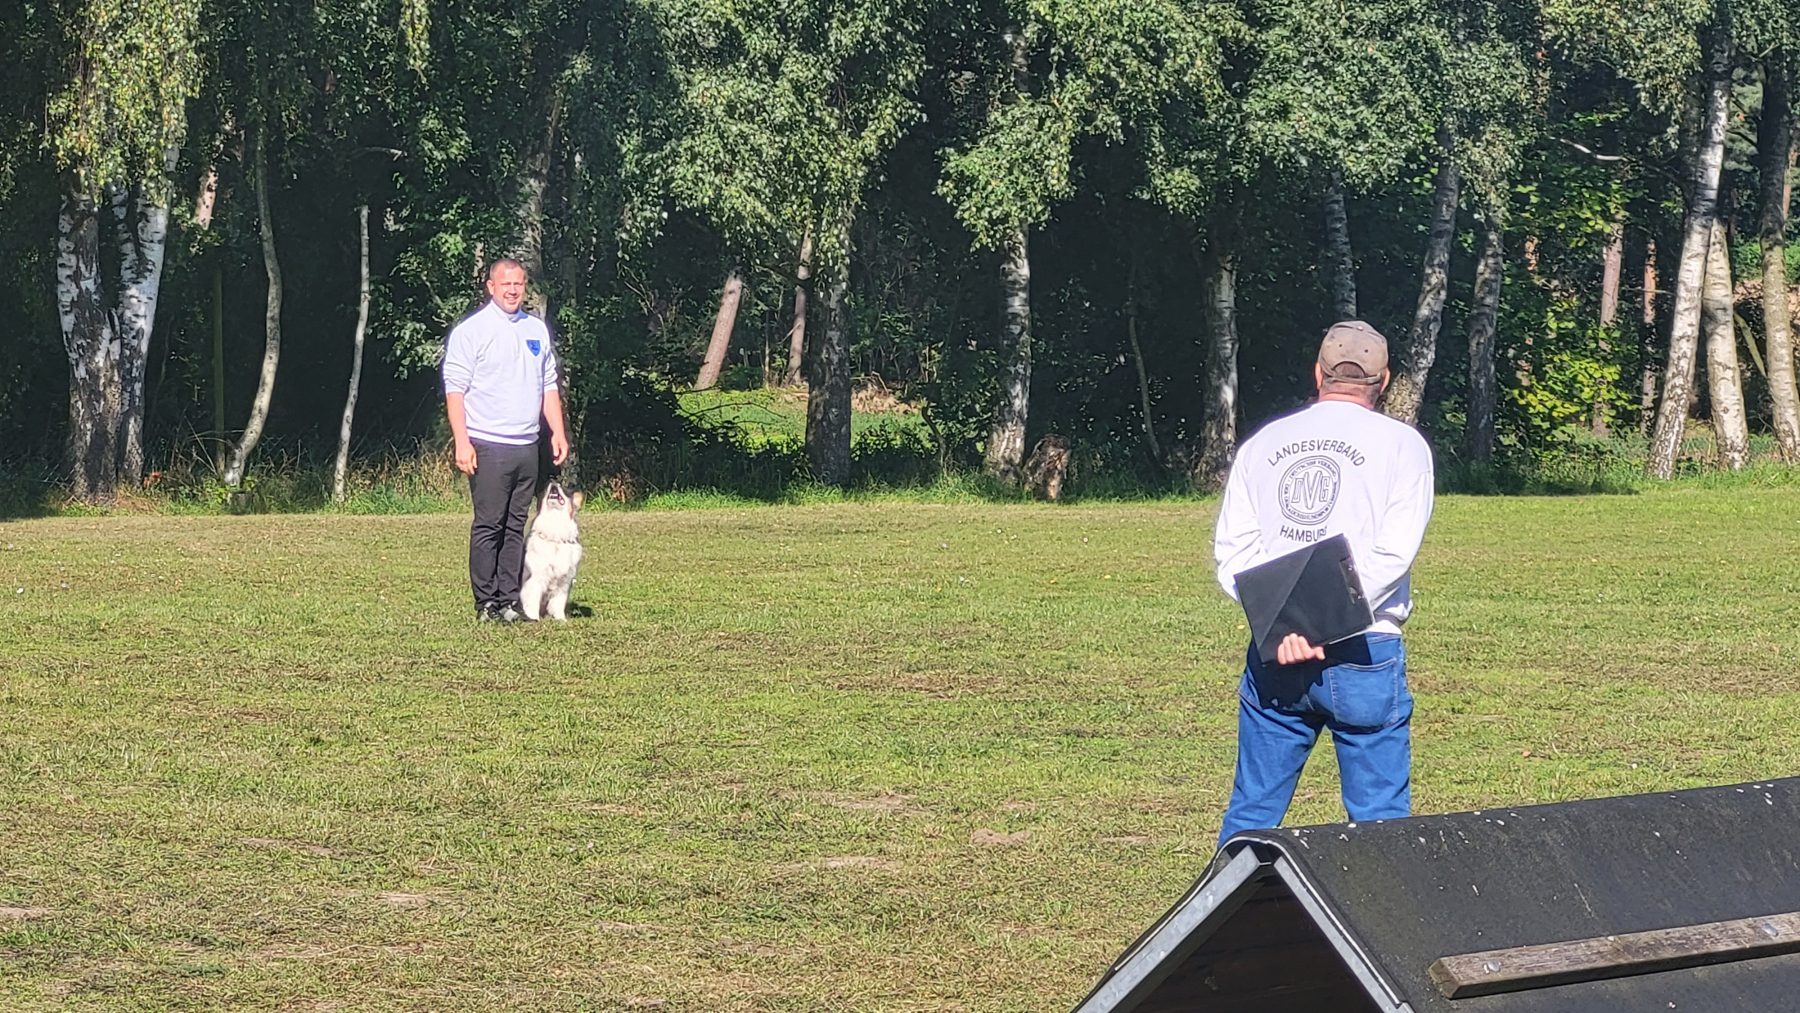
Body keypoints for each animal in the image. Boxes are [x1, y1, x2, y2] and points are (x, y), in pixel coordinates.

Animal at [520, 482, 583, 621]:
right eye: (546, 489)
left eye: (564, 488)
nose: (553, 482)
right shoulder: (535, 579)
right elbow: (532, 602)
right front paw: (534, 619)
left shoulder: (564, 581)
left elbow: (558, 603)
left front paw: (561, 619)